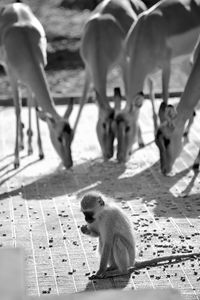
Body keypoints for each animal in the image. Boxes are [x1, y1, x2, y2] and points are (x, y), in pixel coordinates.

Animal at [0, 2, 74, 169]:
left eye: (72, 135)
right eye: (59, 138)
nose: (69, 163)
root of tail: (13, 4)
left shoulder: (32, 76)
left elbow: (34, 108)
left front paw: (40, 152)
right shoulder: (12, 77)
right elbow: (17, 110)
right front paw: (16, 160)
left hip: (27, 81)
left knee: (29, 104)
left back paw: (28, 146)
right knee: (19, 109)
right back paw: (21, 146)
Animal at [74, 0, 146, 159]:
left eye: (113, 127)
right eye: (104, 124)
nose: (108, 154)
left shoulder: (124, 64)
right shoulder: (88, 68)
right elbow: (82, 100)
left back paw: (142, 141)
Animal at [115, 0, 200, 166]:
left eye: (128, 128)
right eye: (114, 127)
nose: (120, 157)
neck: (146, 31)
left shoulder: (166, 67)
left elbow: (165, 99)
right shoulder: (147, 73)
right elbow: (152, 98)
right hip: (185, 62)